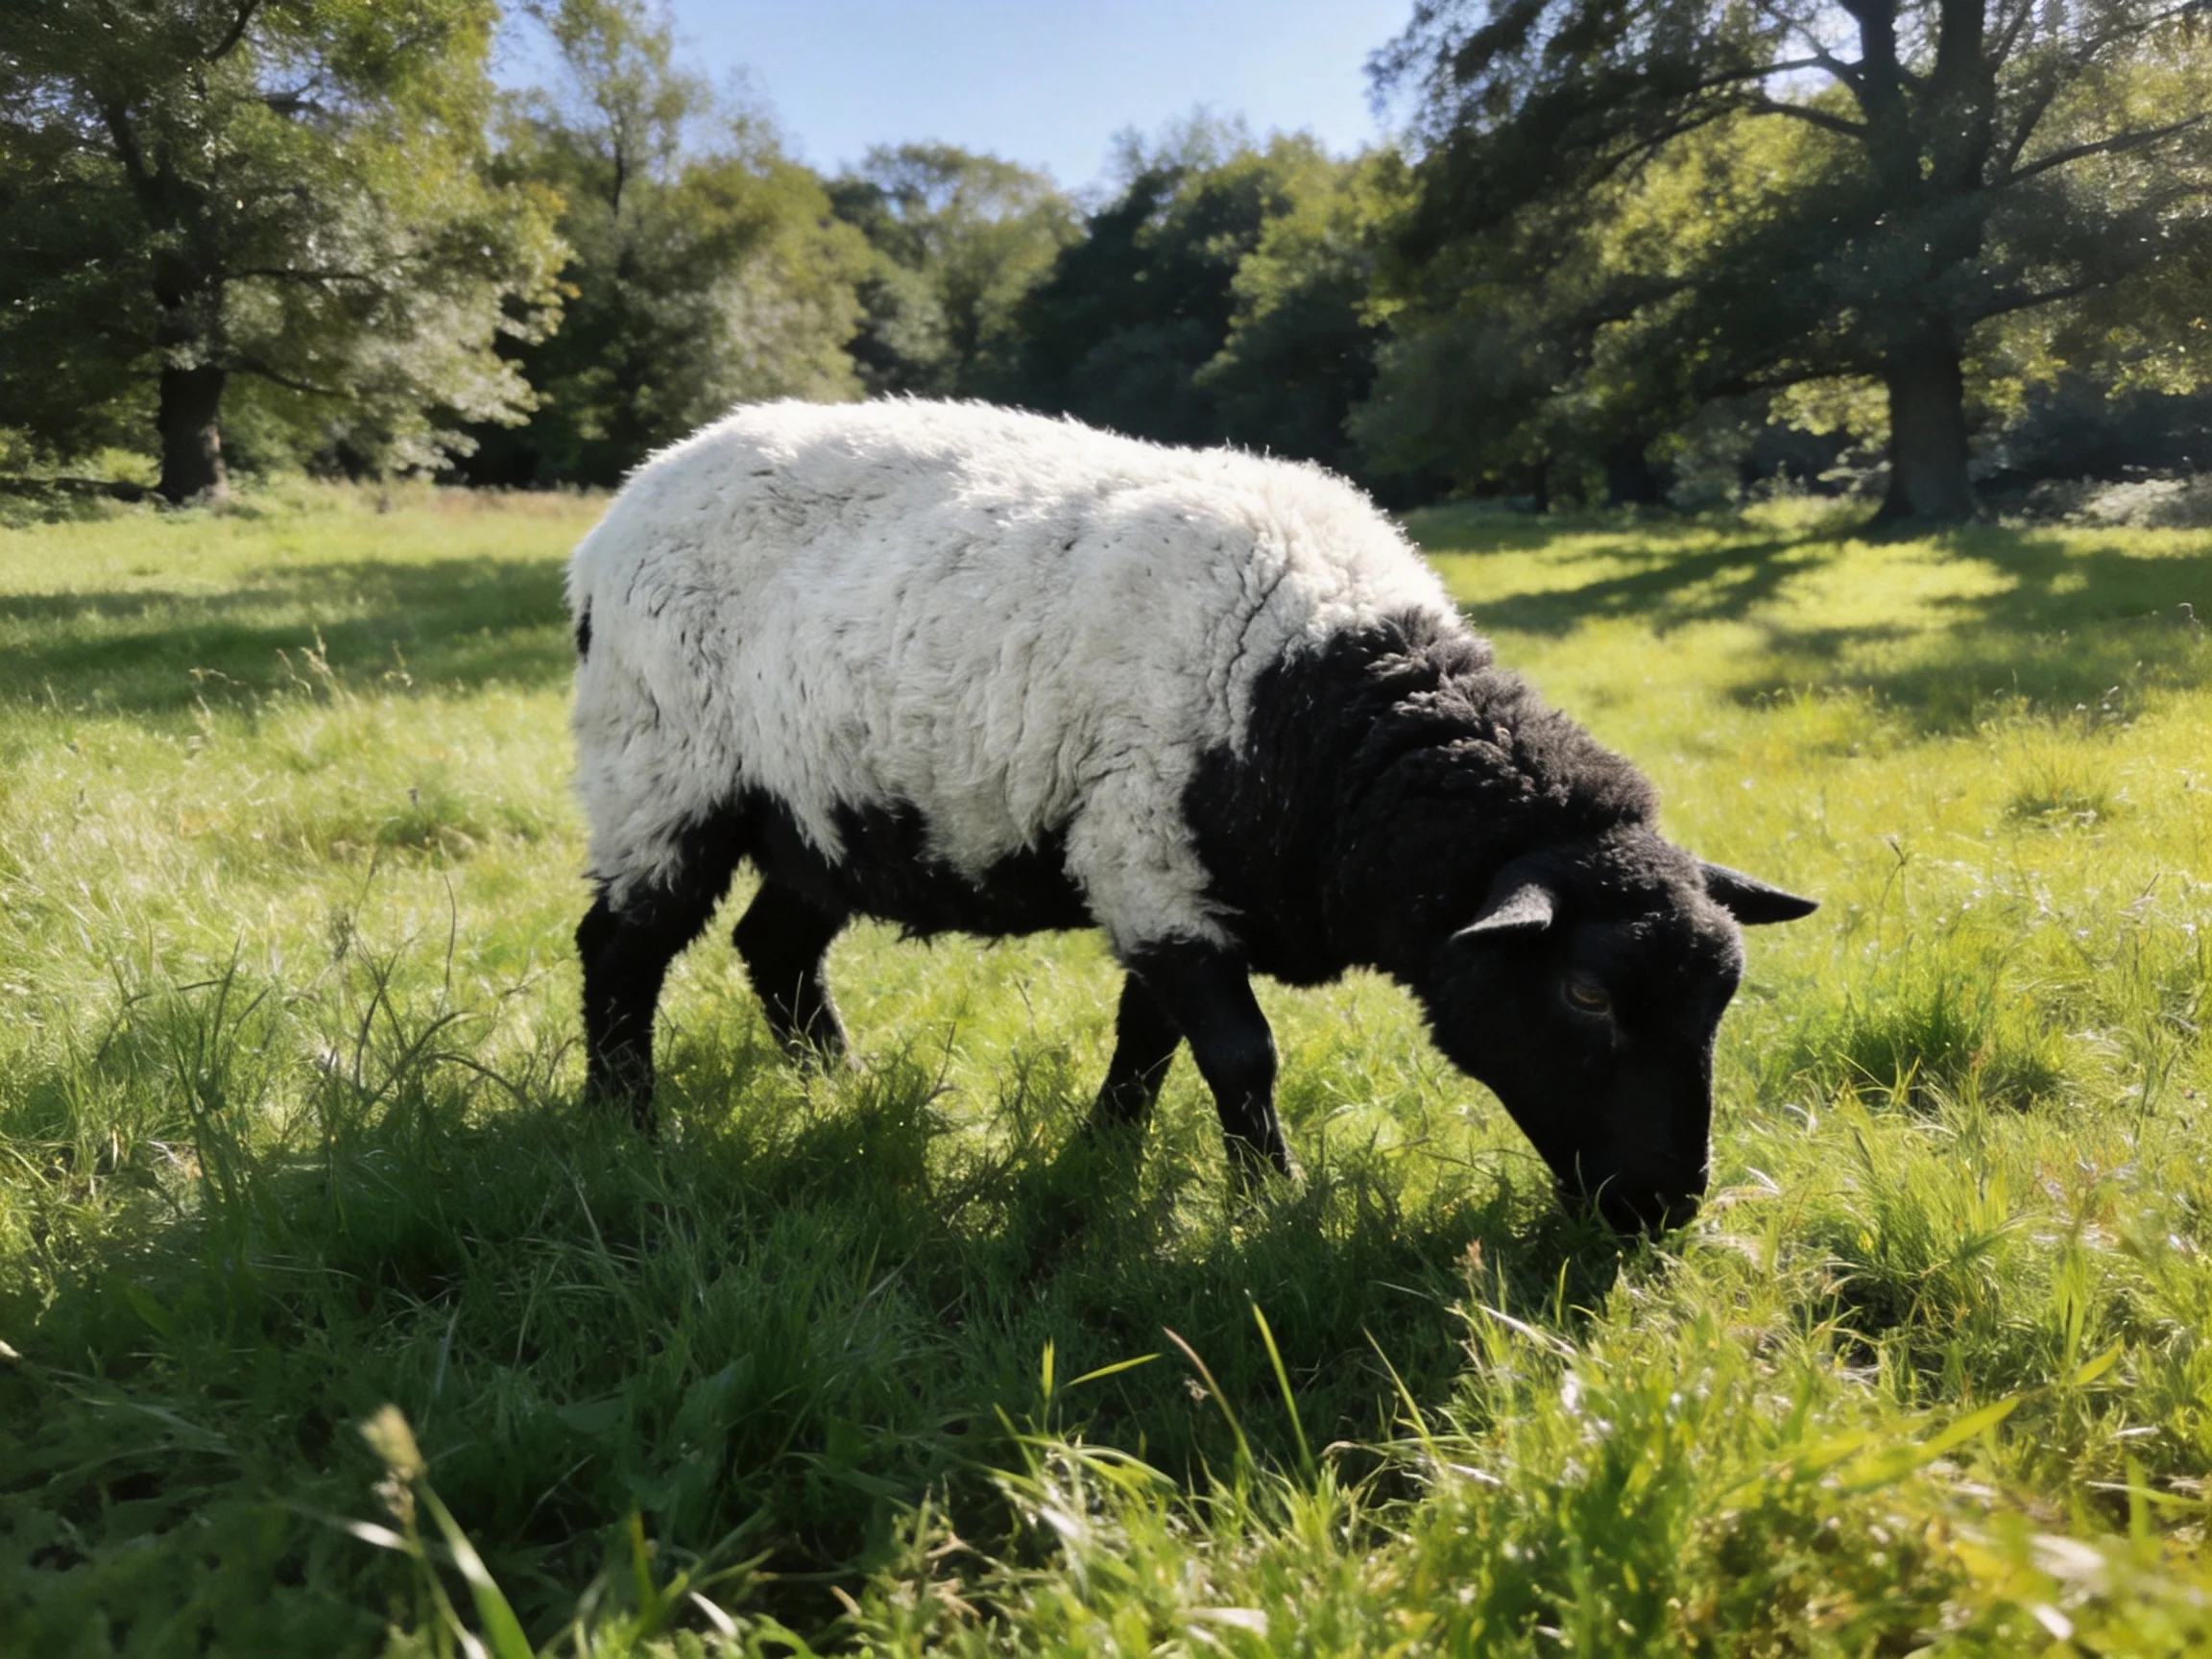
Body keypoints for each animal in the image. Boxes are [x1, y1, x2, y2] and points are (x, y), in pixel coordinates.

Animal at [567, 399, 1816, 1232]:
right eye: (1586, 994)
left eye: (1723, 999)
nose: (1665, 1210)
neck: (1320, 710)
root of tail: (625, 504)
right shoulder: (1150, 865)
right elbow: (1237, 1052)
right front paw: (1270, 1202)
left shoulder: (1158, 878)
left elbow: (1148, 1039)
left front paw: (1101, 1157)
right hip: (662, 770)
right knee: (621, 946)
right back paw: (625, 1124)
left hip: (818, 816)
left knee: (774, 948)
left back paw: (838, 1089)